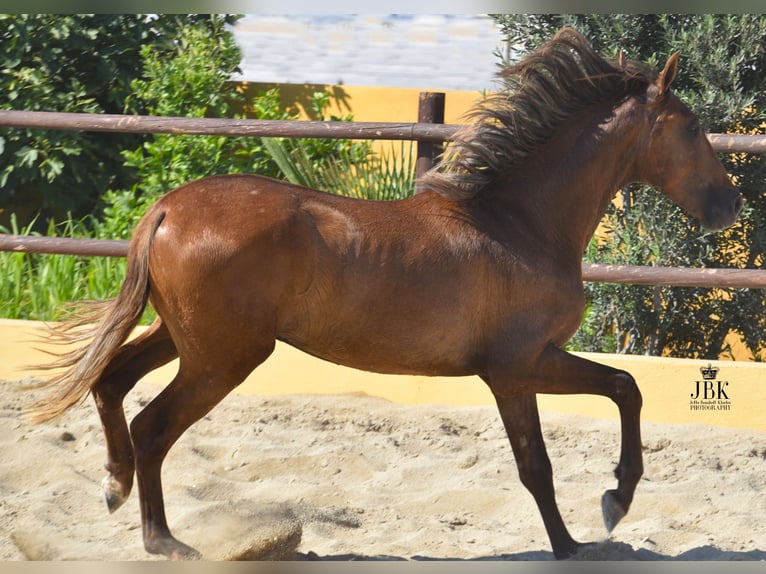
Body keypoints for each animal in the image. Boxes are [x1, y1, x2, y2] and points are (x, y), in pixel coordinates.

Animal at [31, 29, 744, 560]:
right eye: (689, 128)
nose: (730, 205)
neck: (519, 223)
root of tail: (166, 210)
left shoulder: (525, 367)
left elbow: (608, 400)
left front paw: (600, 516)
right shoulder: (517, 367)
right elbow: (564, 441)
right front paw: (597, 522)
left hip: (183, 337)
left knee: (112, 383)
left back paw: (114, 487)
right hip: (222, 356)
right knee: (152, 424)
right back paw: (165, 543)